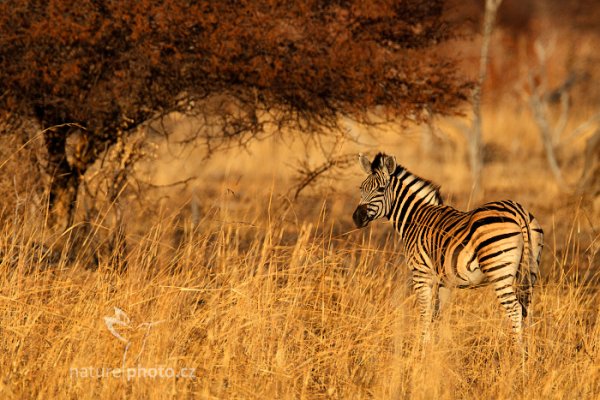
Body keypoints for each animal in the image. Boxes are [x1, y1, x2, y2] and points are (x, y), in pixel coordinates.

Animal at [352, 152, 544, 340]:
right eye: (361, 188)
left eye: (380, 189)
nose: (357, 218)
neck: (415, 218)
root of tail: (518, 212)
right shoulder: (445, 281)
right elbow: (438, 315)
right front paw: (439, 347)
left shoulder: (421, 274)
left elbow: (425, 313)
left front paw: (422, 347)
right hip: (530, 268)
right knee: (527, 308)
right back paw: (529, 347)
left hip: (498, 269)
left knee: (515, 309)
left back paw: (517, 350)